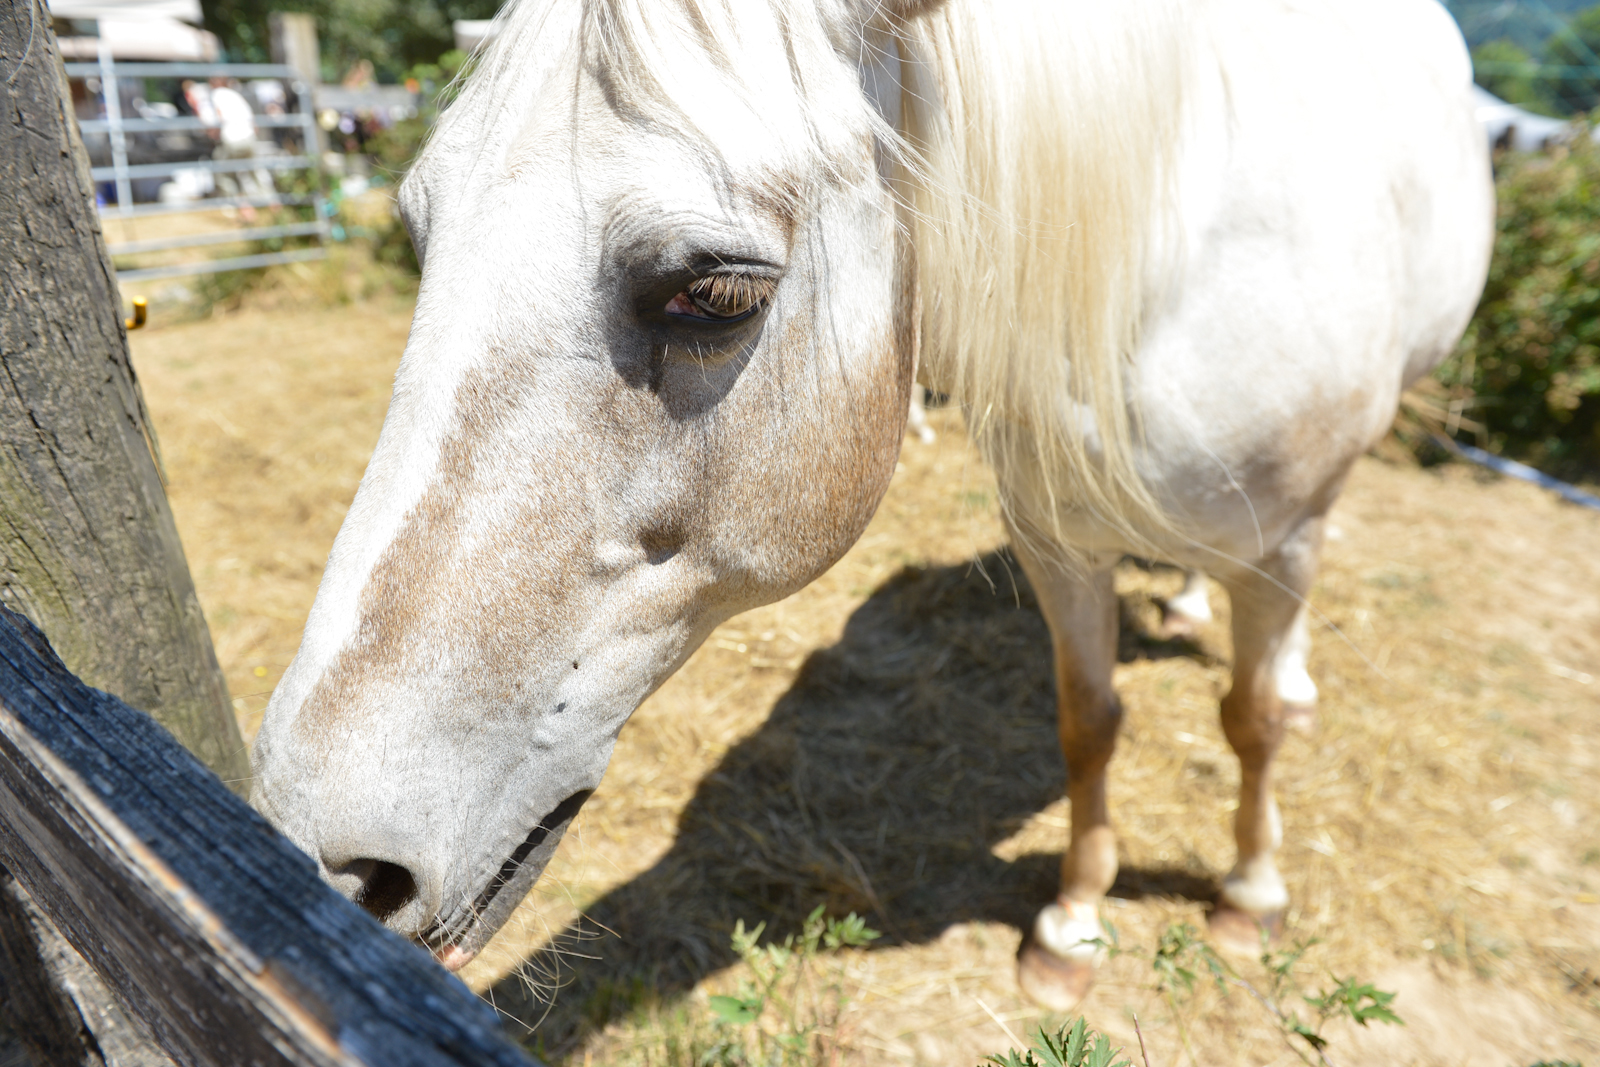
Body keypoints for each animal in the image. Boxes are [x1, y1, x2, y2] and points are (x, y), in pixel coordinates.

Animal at [250, 0, 1493, 1011]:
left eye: (713, 292)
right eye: (421, 234)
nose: (314, 852)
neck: (1172, 256)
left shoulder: (1283, 542)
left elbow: (1253, 719)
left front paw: (1246, 893)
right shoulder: (1058, 540)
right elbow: (1088, 720)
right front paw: (1070, 925)